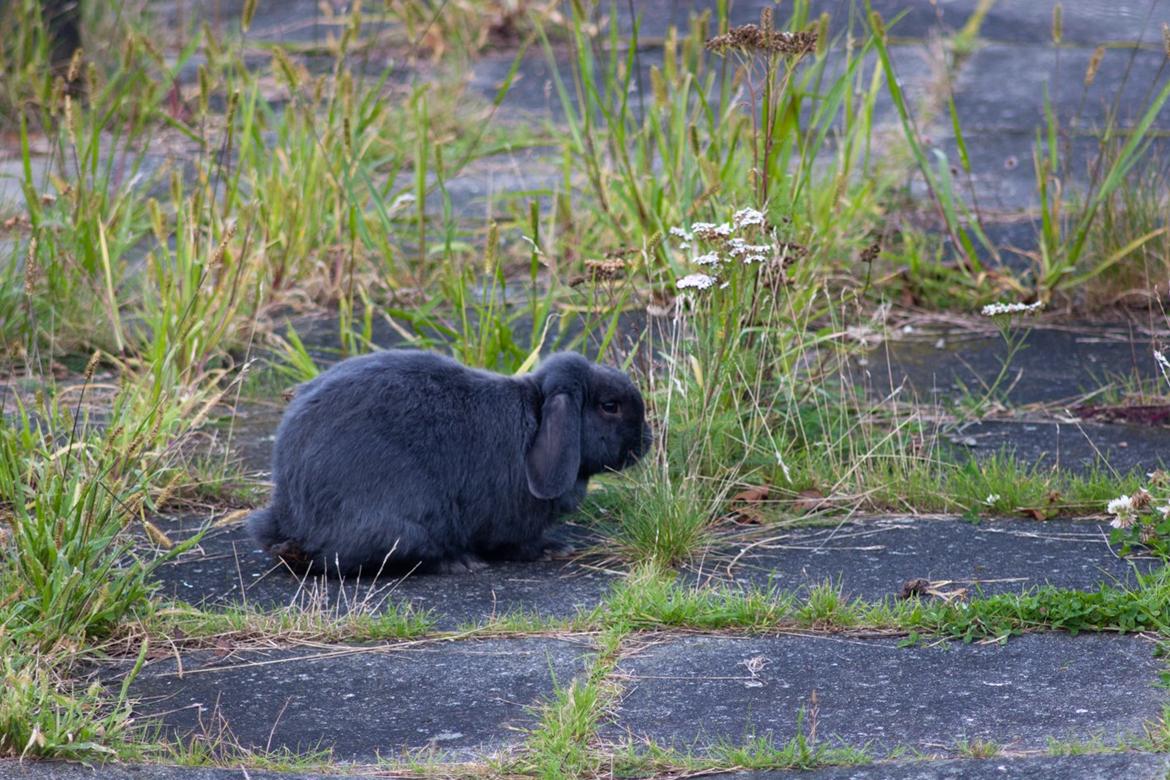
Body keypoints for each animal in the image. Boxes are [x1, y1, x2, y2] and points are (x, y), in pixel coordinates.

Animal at [249, 350, 650, 577]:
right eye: (609, 406)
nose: (646, 441)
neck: (535, 416)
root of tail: (294, 520)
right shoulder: (511, 522)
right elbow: (519, 544)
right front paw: (552, 549)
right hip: (404, 524)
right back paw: (459, 562)